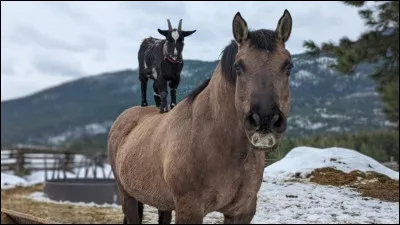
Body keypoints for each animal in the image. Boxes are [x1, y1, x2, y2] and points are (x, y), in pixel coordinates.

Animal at [109, 9, 294, 224]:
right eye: (238, 66)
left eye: (288, 66)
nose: (265, 120)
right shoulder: (190, 210)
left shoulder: (242, 211)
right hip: (127, 196)